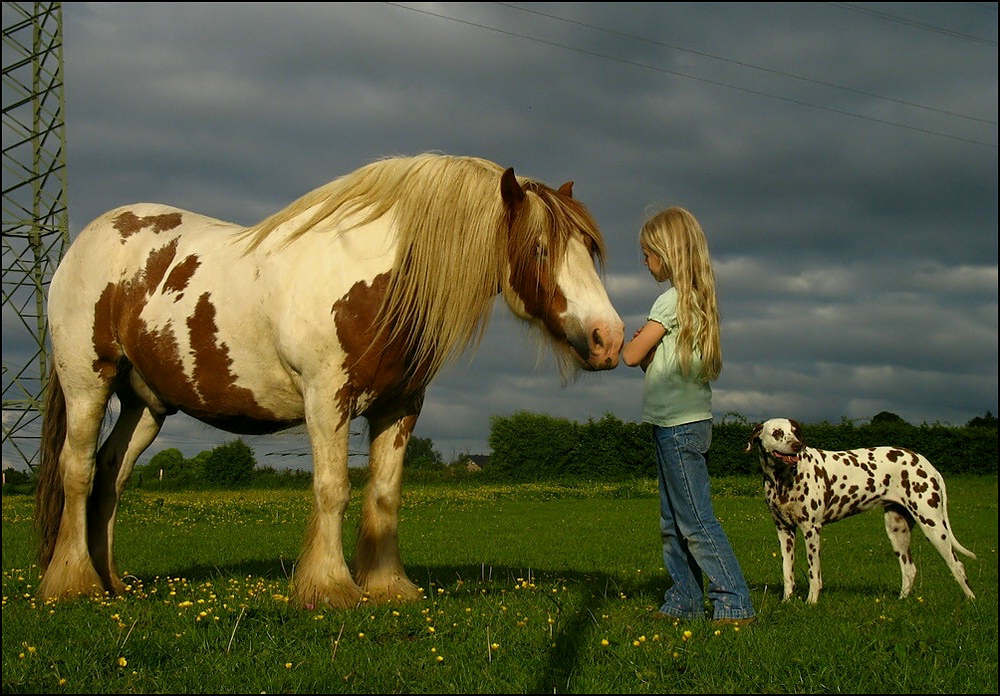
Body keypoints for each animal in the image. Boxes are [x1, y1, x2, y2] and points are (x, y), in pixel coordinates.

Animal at [35, 154, 620, 608]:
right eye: (540, 248)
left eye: (589, 250)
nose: (608, 338)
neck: (372, 281)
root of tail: (84, 241)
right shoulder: (326, 398)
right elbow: (333, 488)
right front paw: (331, 587)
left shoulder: (400, 406)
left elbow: (384, 495)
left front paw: (387, 586)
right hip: (88, 384)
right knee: (78, 470)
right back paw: (72, 583)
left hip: (146, 405)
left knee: (111, 474)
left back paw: (111, 582)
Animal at [748, 418, 972, 604]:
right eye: (777, 432)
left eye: (795, 432)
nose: (797, 445)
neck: (782, 478)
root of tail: (928, 464)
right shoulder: (784, 530)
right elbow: (787, 572)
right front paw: (786, 601)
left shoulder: (811, 530)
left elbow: (814, 573)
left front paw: (811, 602)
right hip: (897, 531)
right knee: (909, 569)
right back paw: (901, 600)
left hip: (933, 527)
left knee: (958, 566)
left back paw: (971, 602)